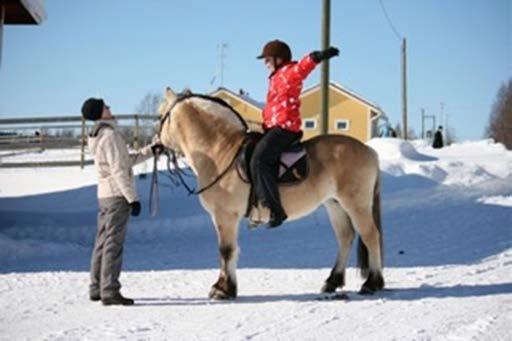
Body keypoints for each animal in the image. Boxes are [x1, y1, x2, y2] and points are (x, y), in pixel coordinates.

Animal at [159, 87, 384, 298]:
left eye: (161, 114)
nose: (156, 144)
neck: (220, 152)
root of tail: (369, 151)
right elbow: (230, 251)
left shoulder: (225, 216)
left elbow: (226, 250)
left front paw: (222, 289)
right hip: (334, 205)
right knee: (345, 237)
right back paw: (332, 281)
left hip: (356, 205)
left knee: (370, 236)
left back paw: (372, 283)